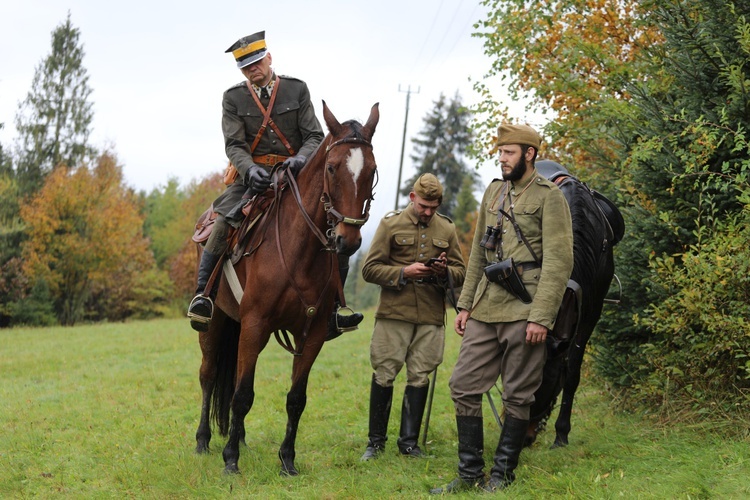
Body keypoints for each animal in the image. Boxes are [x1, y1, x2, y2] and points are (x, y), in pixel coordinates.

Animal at [195, 102, 382, 476]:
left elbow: (296, 398)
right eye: (331, 167)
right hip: (216, 322)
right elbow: (242, 396)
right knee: (208, 376)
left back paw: (240, 438)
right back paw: (204, 440)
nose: (349, 240)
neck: (300, 251)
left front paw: (287, 460)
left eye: (371, 170)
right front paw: (230, 461)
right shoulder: (255, 325)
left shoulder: (311, 334)